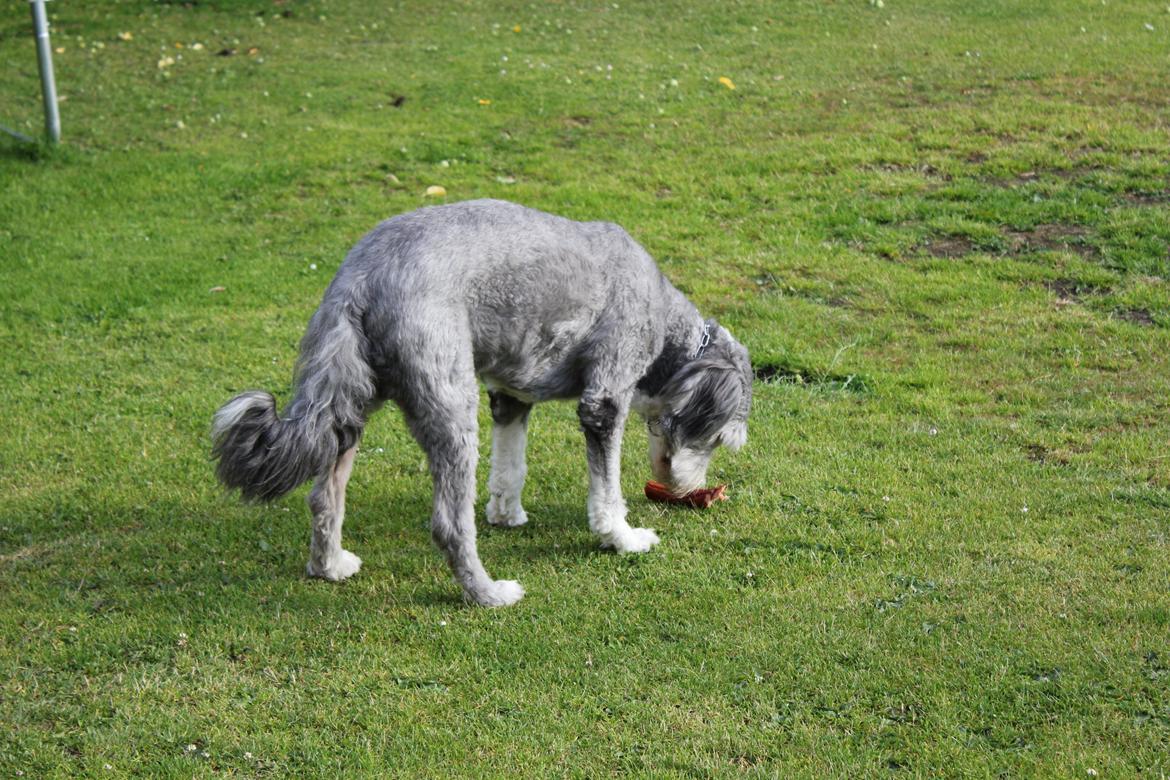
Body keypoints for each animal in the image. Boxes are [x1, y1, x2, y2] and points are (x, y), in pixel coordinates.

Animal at [214, 198, 753, 608]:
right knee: (449, 526)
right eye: (719, 439)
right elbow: (607, 494)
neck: (665, 323)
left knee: (324, 495)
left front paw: (506, 514)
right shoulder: (603, 401)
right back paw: (487, 593)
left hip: (348, 403)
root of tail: (362, 277)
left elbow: (510, 467)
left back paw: (330, 566)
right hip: (452, 409)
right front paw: (622, 539)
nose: (691, 490)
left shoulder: (510, 396)